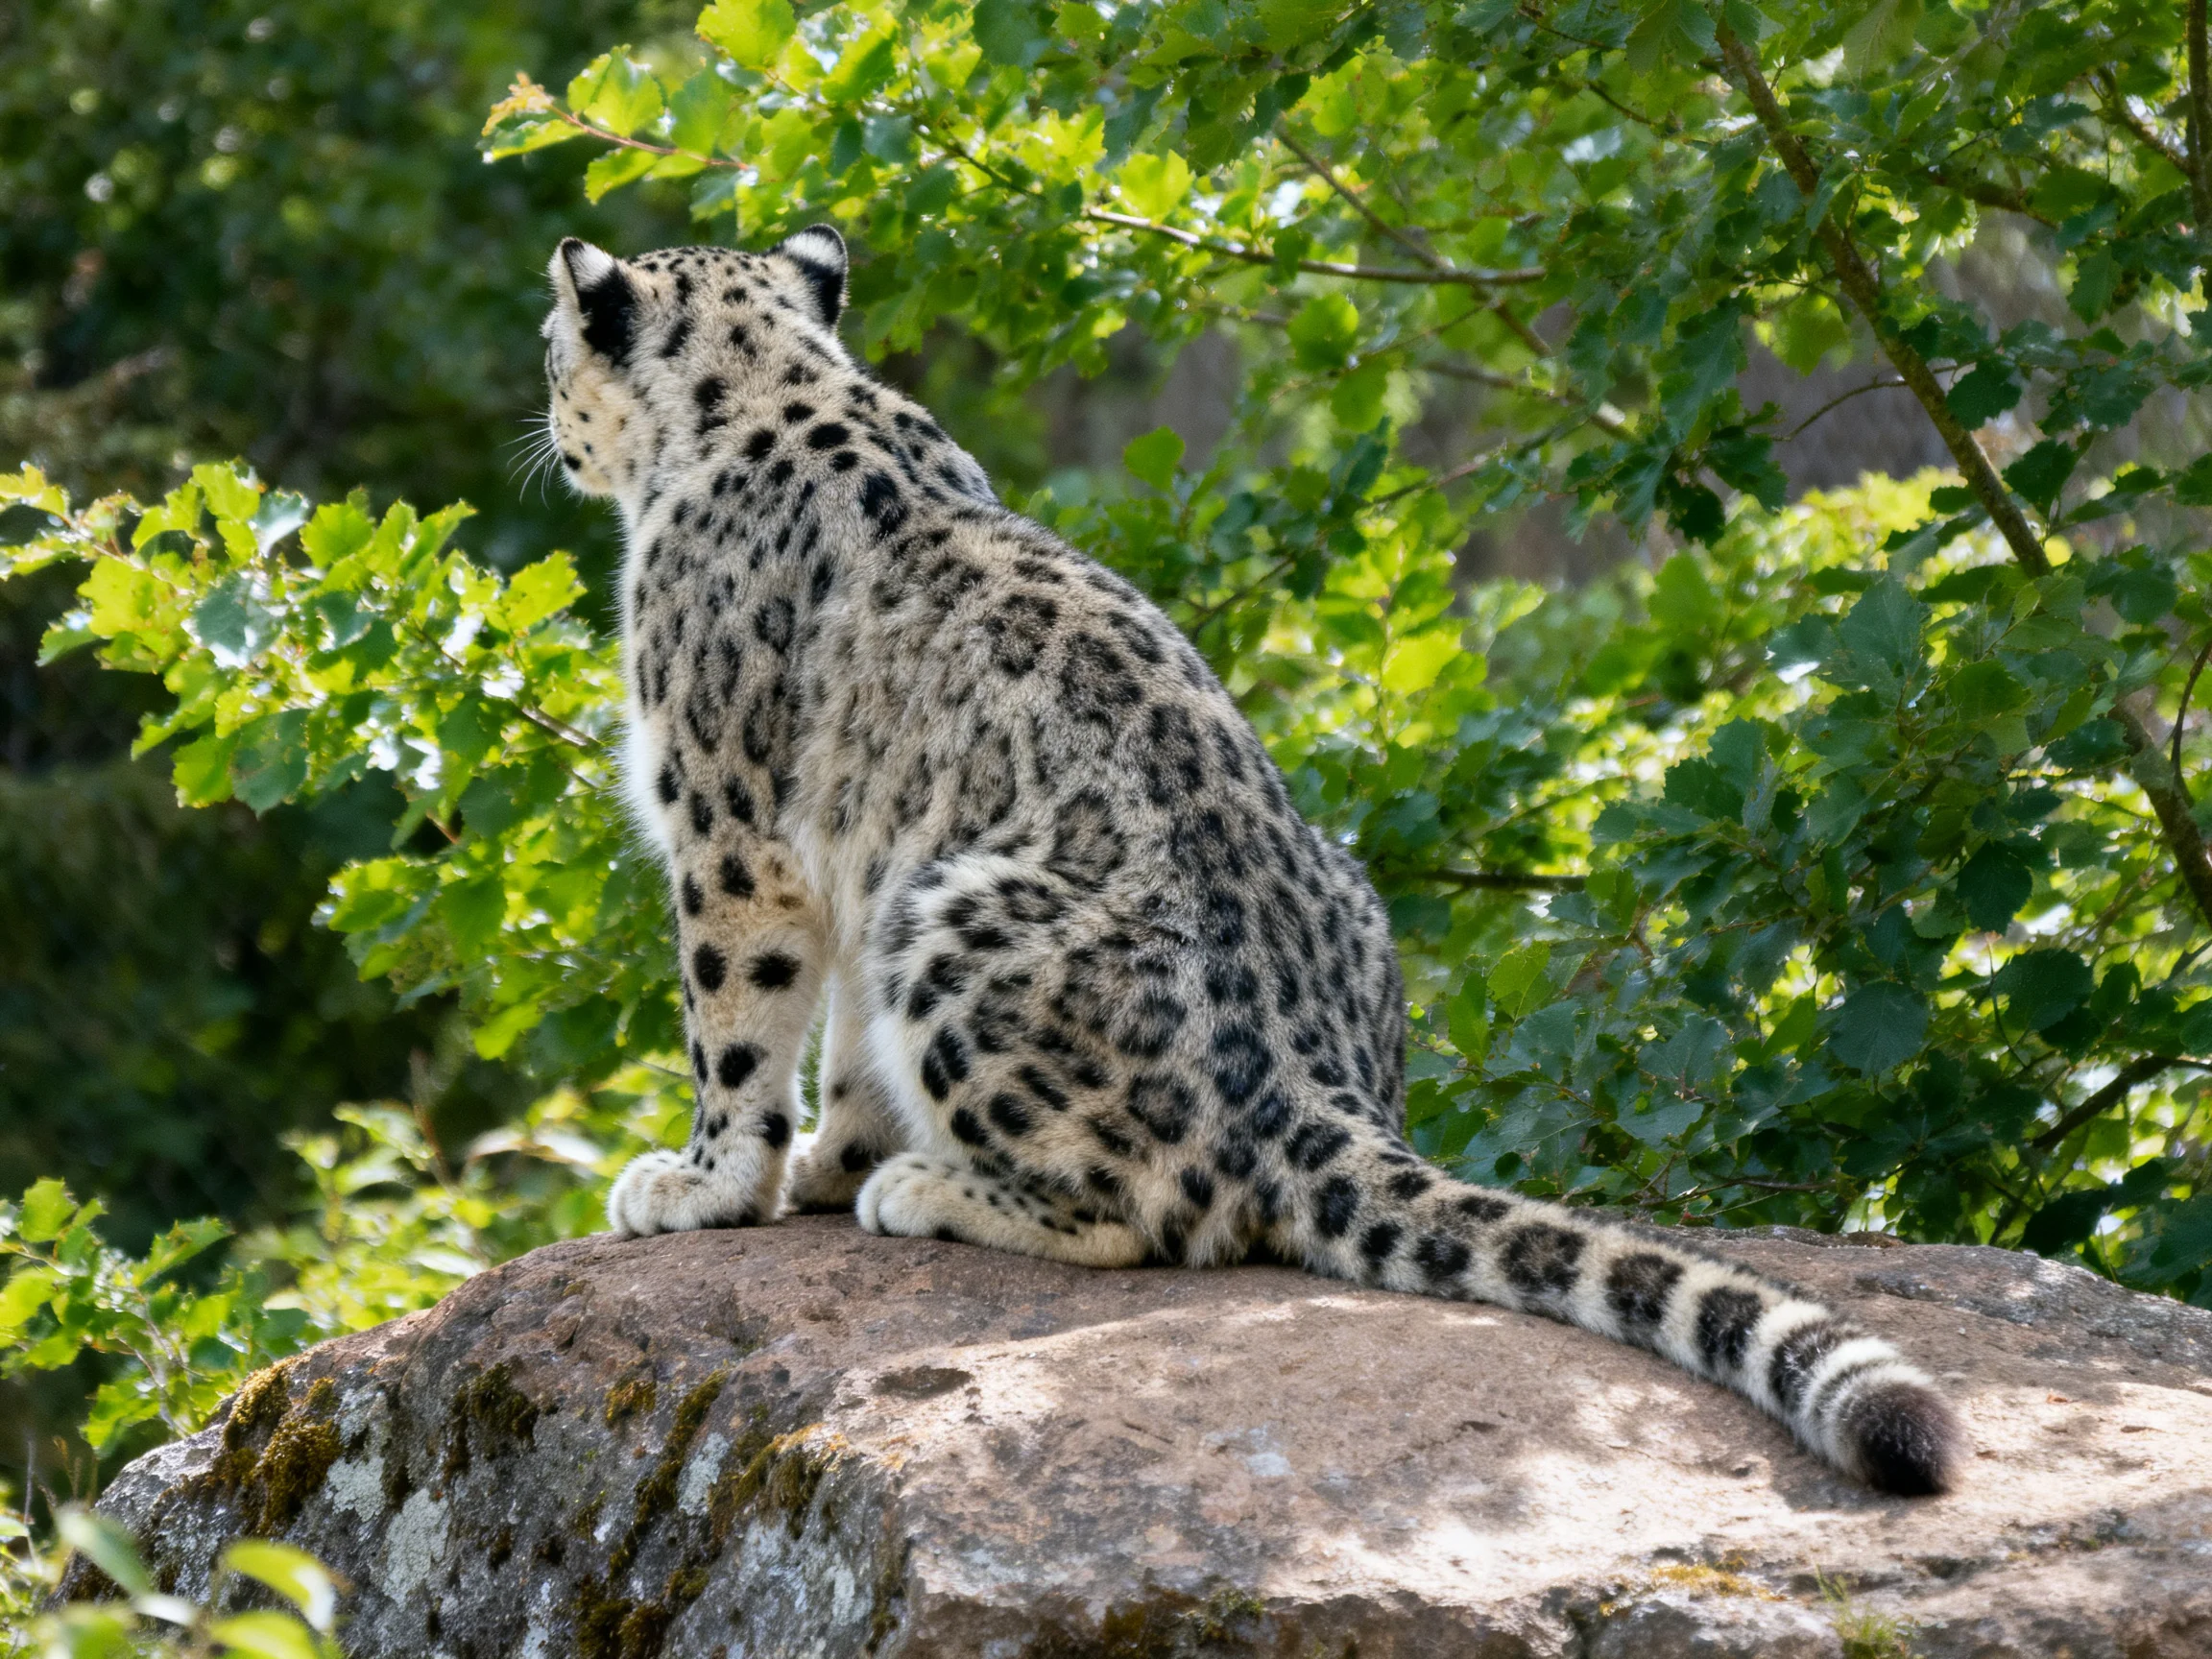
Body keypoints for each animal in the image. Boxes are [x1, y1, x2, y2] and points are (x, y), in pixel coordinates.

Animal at [540, 228, 1963, 1496]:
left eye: (552, 348)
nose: (546, 428)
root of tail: (1311, 1085)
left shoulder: (725, 823)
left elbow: (734, 1025)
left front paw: (706, 1183)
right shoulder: (848, 862)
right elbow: (840, 1052)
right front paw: (818, 1168)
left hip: (949, 917)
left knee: (1150, 1214)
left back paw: (929, 1188)